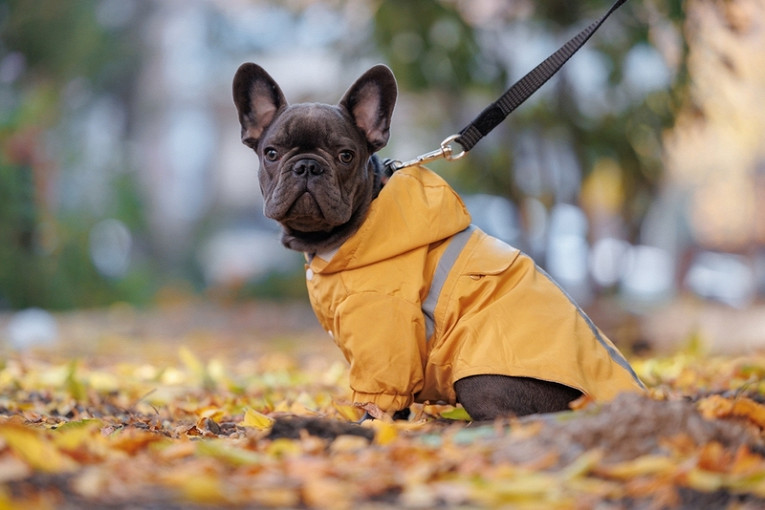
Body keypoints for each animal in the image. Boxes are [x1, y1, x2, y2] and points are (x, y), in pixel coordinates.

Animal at [233, 63, 644, 420]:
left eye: (345, 155)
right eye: (271, 153)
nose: (307, 166)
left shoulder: (384, 330)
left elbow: (377, 398)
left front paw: (364, 426)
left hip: (479, 373)